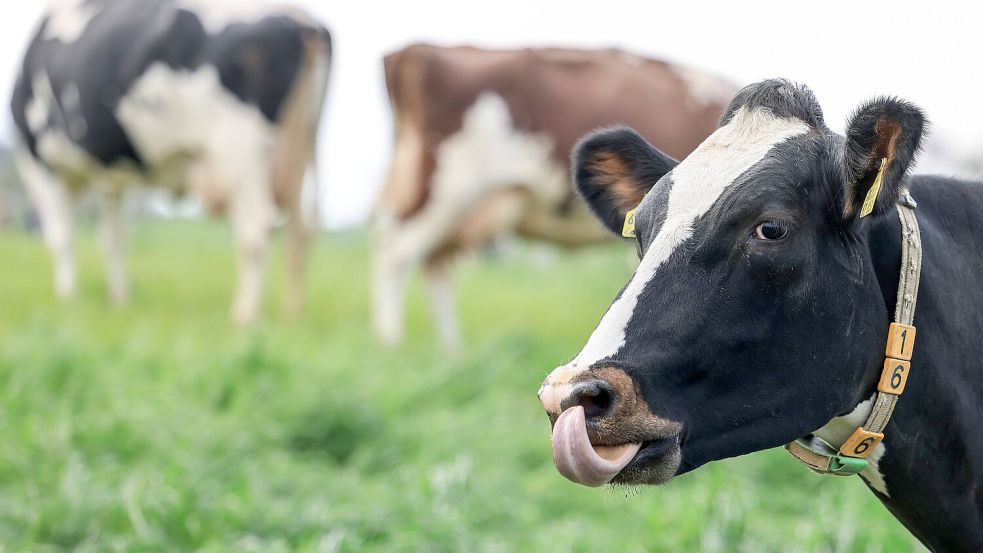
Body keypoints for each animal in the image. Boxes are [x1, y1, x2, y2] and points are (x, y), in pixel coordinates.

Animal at [10, 0, 334, 324]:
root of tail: (298, 16)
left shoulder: (41, 162)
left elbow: (62, 238)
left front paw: (68, 300)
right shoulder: (114, 177)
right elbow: (114, 238)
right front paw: (119, 300)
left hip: (241, 149)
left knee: (255, 230)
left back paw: (244, 316)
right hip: (303, 147)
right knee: (301, 231)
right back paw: (292, 316)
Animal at [372, 44, 736, 344]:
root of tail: (412, 51)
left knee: (432, 262)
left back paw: (451, 349)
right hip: (442, 189)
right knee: (395, 257)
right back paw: (392, 345)